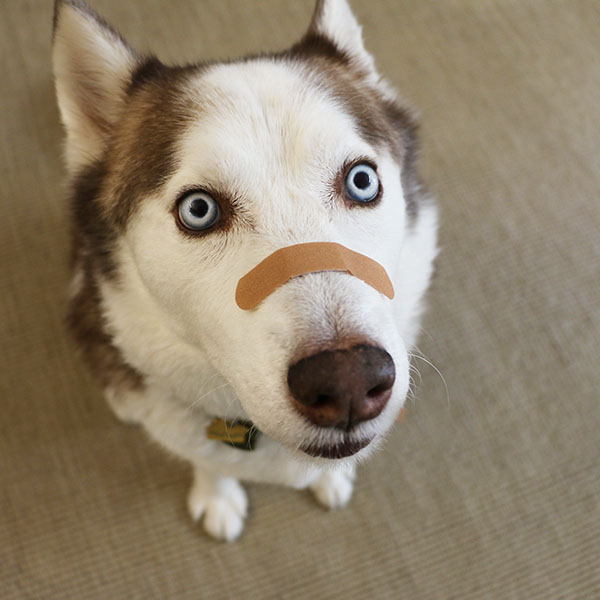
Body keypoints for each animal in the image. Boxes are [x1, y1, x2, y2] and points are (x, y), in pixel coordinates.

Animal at [52, 0, 436, 540]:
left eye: (362, 181)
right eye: (199, 210)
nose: (348, 381)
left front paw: (331, 478)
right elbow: (208, 461)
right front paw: (217, 495)